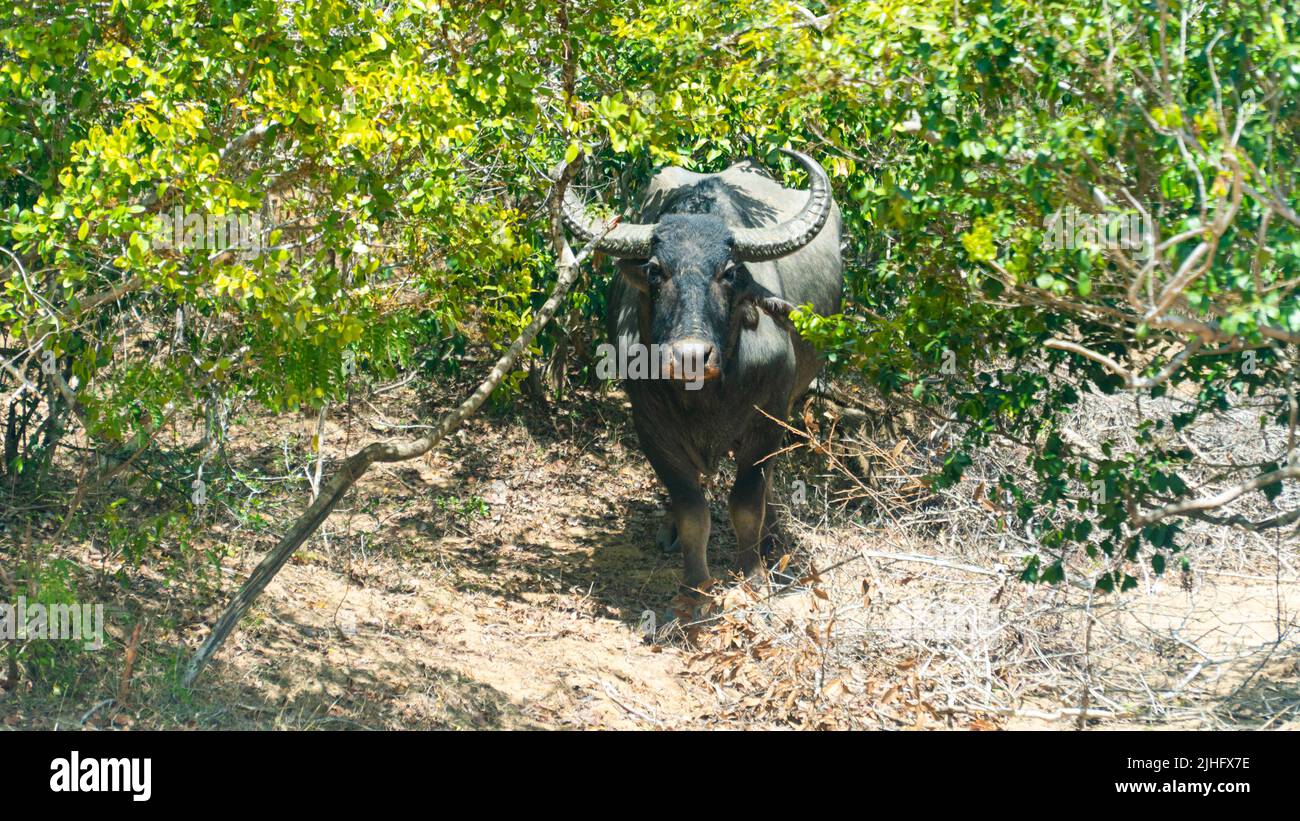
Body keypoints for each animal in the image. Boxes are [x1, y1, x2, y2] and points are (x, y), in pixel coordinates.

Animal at [562, 149, 843, 595]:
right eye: (656, 270)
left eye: (728, 272)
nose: (690, 356)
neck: (706, 394)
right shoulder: (651, 425)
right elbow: (692, 508)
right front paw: (696, 586)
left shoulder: (769, 416)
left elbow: (747, 501)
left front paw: (753, 573)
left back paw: (772, 534)